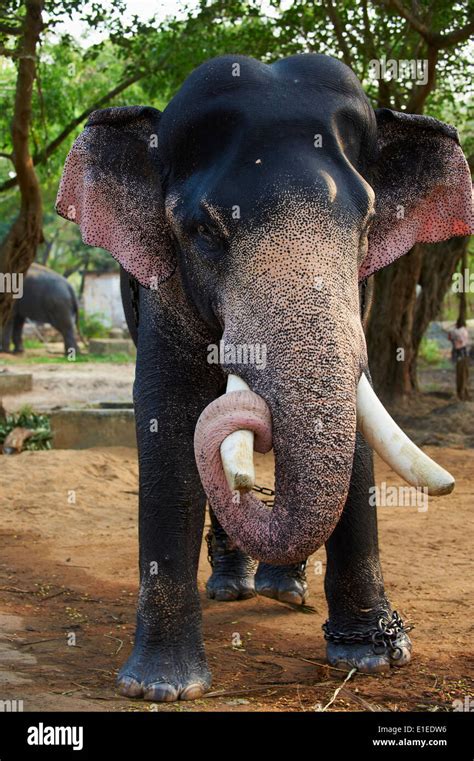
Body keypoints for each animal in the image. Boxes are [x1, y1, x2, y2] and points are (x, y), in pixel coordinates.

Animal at [54, 53, 470, 700]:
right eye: (202, 232)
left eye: (367, 225)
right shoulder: (161, 285)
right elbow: (168, 412)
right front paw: (161, 688)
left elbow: (357, 428)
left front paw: (374, 656)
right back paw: (233, 588)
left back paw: (285, 592)